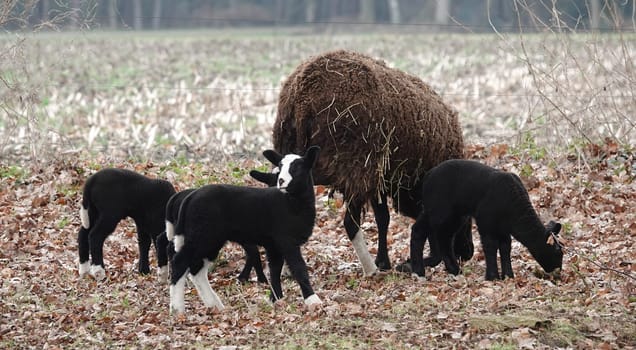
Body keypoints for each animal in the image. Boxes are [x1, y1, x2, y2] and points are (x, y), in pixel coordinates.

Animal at [170, 146, 322, 314]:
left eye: (298, 167)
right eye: (280, 166)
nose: (281, 181)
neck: (292, 203)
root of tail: (190, 197)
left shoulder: (274, 244)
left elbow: (275, 271)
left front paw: (275, 299)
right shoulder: (287, 240)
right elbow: (299, 268)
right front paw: (312, 300)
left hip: (209, 240)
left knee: (197, 270)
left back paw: (215, 305)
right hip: (201, 235)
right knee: (180, 262)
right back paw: (177, 309)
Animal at [274, 49, 472, 276]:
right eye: (466, 218)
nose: (468, 253)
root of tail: (304, 99)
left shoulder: (381, 181)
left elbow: (383, 218)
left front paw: (385, 261)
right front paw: (406, 263)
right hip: (356, 168)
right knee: (350, 224)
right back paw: (370, 270)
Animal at [408, 160, 560, 280]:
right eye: (557, 250)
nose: (558, 269)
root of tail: (427, 176)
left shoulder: (503, 228)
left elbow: (505, 247)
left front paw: (508, 275)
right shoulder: (485, 222)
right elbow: (490, 246)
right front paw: (492, 276)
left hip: (451, 215)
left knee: (438, 237)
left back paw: (451, 270)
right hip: (439, 211)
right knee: (427, 233)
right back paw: (420, 271)